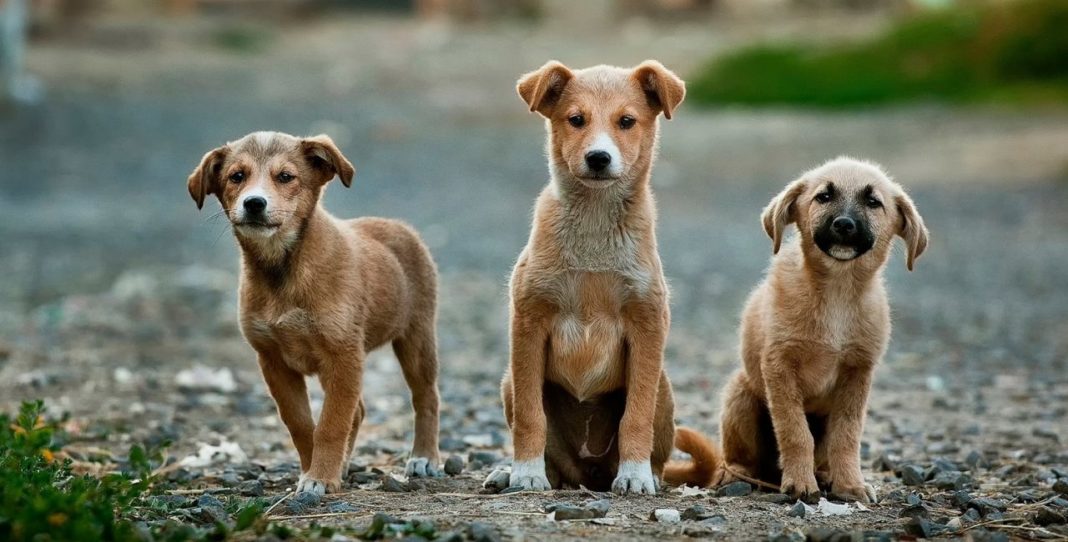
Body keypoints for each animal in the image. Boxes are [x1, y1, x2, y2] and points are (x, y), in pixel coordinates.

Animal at [187, 131, 442, 496]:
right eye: (237, 176)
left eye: (285, 177)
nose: (254, 203)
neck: (283, 270)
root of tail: (399, 226)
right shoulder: (273, 361)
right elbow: (302, 424)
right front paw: (315, 471)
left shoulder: (343, 355)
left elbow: (331, 423)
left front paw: (320, 476)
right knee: (359, 410)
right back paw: (345, 465)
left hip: (416, 338)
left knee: (426, 397)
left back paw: (424, 457)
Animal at [482, 60, 717, 496]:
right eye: (576, 120)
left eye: (627, 121)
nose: (598, 158)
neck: (594, 225)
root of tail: (588, 473)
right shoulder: (528, 321)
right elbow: (529, 415)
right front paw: (525, 472)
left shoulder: (647, 324)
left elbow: (635, 416)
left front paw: (635, 475)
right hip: (509, 381)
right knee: (551, 455)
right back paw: (514, 471)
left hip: (663, 388)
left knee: (654, 447)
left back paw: (645, 474)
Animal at [717, 157, 927, 504]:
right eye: (823, 197)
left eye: (873, 202)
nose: (844, 225)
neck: (837, 292)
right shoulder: (779, 366)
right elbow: (795, 431)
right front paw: (800, 483)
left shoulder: (858, 373)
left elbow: (847, 435)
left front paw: (850, 484)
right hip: (740, 394)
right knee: (741, 457)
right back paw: (736, 473)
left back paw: (827, 475)